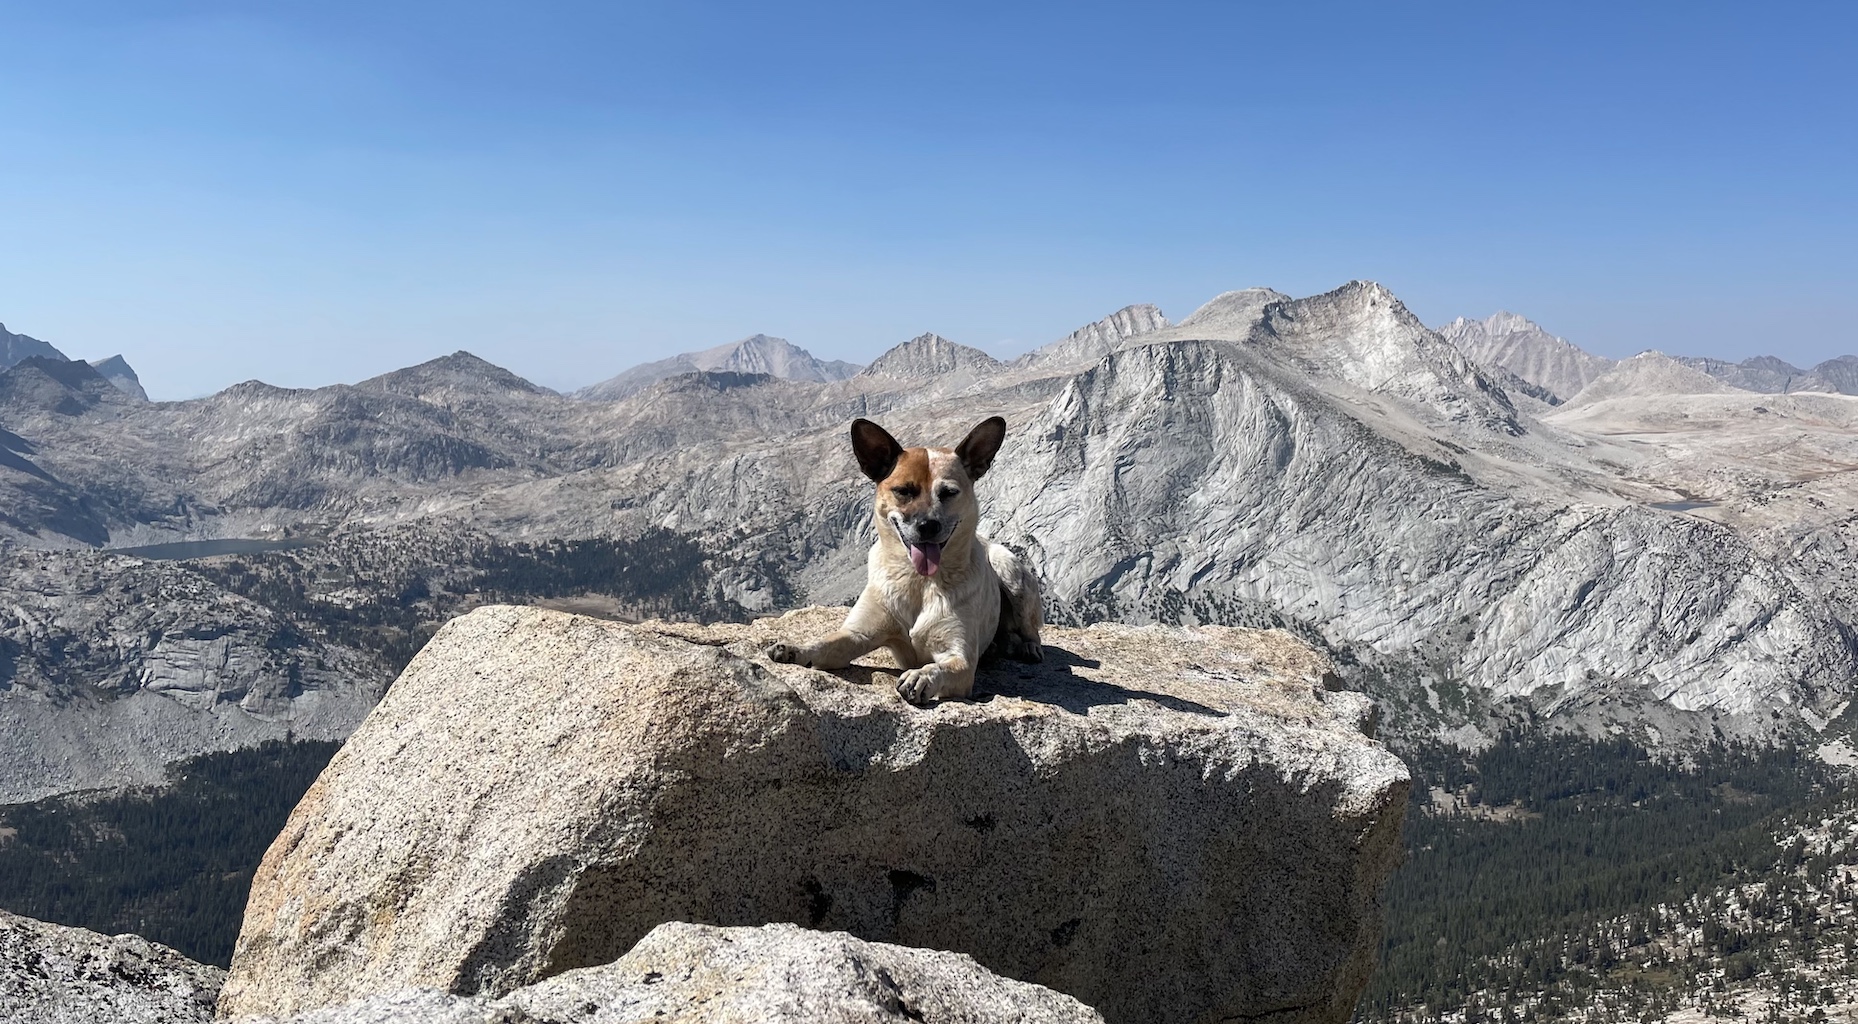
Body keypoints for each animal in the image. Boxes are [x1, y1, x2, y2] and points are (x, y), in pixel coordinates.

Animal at [761, 416, 1040, 706]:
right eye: (904, 490)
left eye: (949, 492)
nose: (928, 525)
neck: (918, 581)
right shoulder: (858, 634)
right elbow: (826, 642)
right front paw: (797, 648)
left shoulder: (960, 659)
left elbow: (940, 666)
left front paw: (921, 676)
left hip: (1008, 568)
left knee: (1030, 626)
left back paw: (1027, 646)